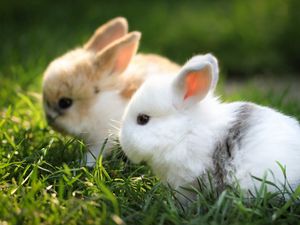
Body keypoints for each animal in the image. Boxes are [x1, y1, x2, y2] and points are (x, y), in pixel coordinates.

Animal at [42, 17, 178, 165]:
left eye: (65, 102)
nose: (49, 120)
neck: (96, 105)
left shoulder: (104, 138)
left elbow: (95, 152)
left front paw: (82, 163)